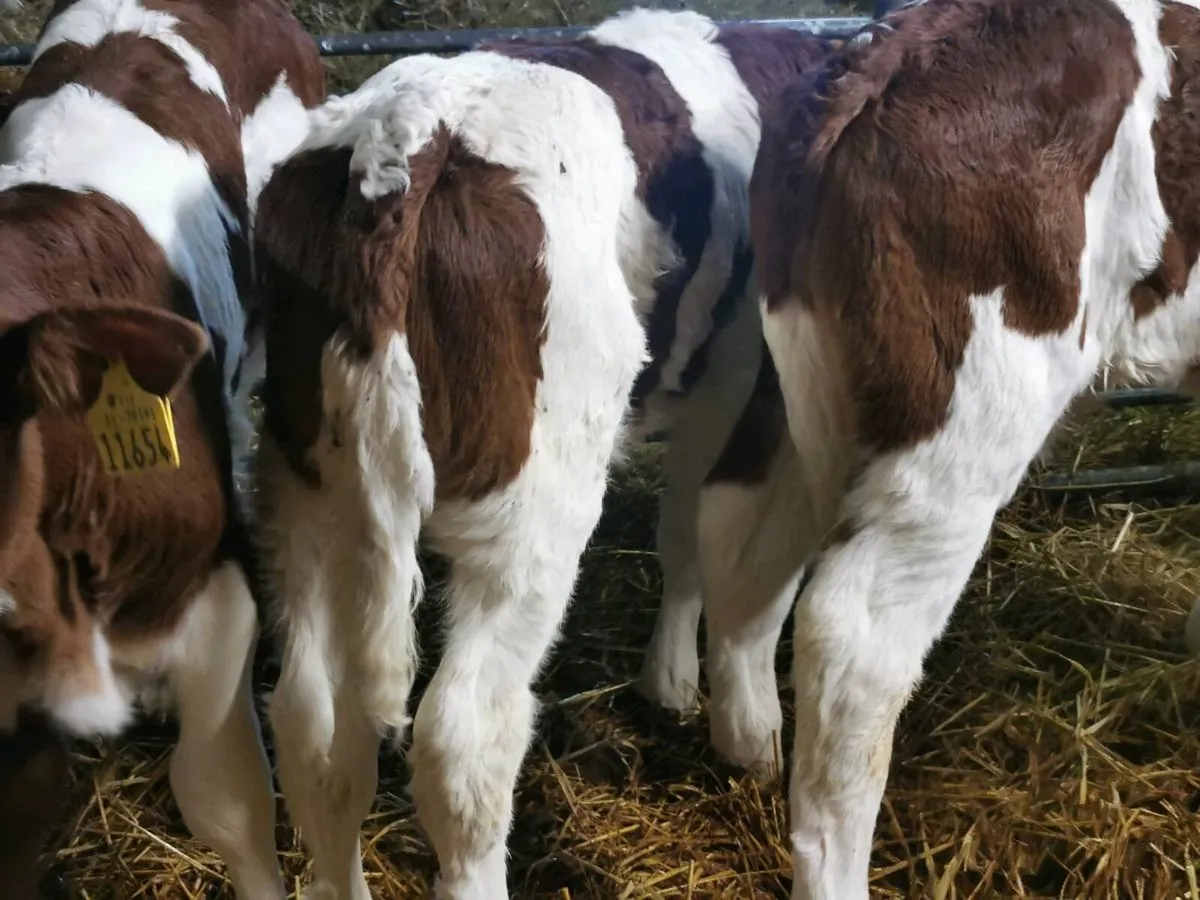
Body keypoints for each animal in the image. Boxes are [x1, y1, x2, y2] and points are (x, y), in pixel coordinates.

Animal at [250, 9, 837, 898]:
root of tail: (408, 141)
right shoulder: (736, 387)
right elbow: (710, 544)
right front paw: (721, 711)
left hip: (309, 487)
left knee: (314, 726)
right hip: (531, 508)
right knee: (463, 740)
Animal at [692, 0, 1200, 897]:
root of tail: (883, 53)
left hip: (799, 382)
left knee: (740, 527)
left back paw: (750, 745)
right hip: (961, 426)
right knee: (855, 642)